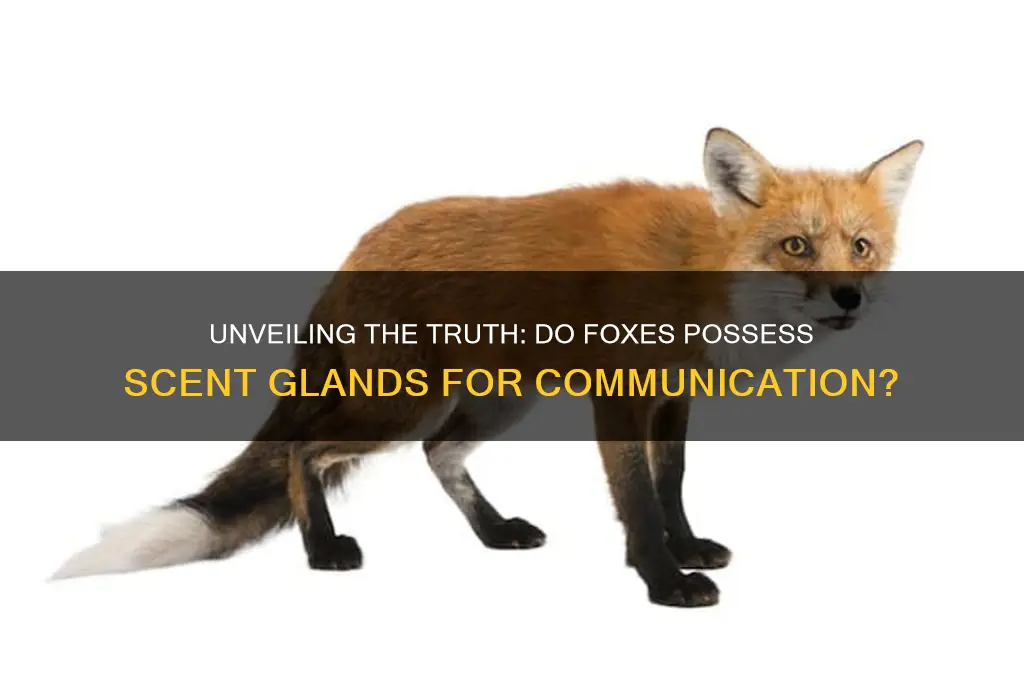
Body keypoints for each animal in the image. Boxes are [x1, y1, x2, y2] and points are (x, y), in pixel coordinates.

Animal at [51, 128, 923, 607]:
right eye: (797, 246)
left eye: (861, 247)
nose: (849, 298)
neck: (696, 268)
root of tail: (361, 243)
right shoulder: (619, 396)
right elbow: (637, 500)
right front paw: (662, 580)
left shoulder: (674, 394)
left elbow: (671, 483)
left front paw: (687, 548)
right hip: (393, 405)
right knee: (305, 450)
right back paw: (322, 549)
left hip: (500, 401)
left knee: (439, 452)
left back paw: (494, 531)